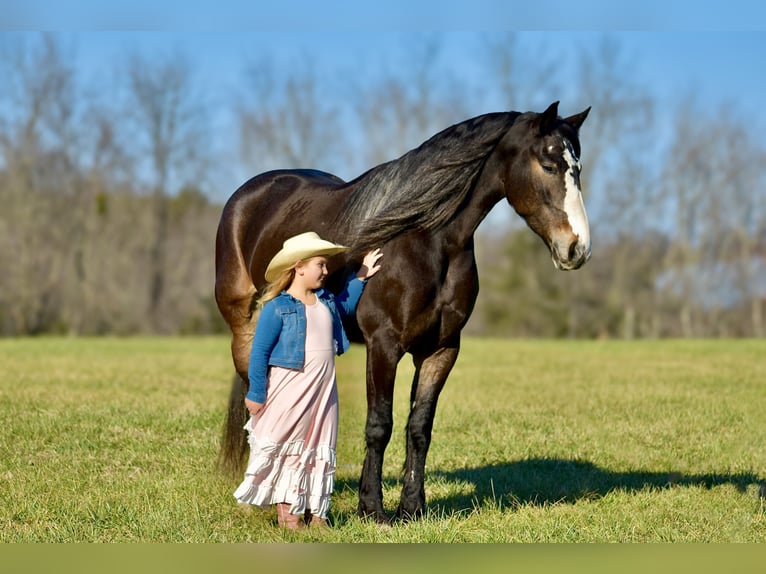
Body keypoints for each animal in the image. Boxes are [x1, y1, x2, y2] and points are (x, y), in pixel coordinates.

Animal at [214, 101, 592, 524]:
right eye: (548, 165)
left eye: (577, 167)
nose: (577, 249)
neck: (427, 239)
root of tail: (251, 192)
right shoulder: (384, 345)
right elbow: (380, 424)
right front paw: (372, 508)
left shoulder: (441, 350)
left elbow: (419, 426)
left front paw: (412, 507)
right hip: (244, 328)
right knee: (257, 401)